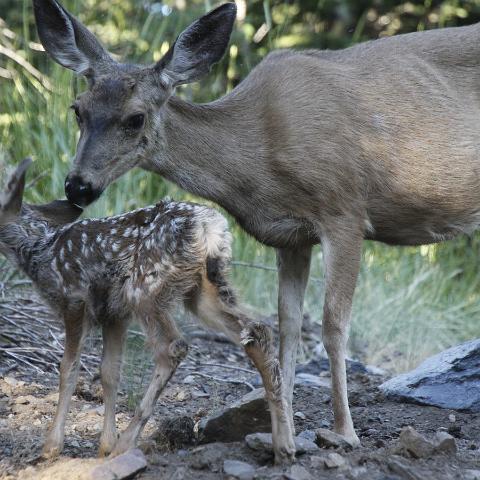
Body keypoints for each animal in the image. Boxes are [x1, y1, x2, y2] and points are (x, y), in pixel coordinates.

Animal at [32, 0, 480, 454]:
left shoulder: (344, 208)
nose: (77, 185)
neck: (259, 158)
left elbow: (333, 325)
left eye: (136, 118)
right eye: (78, 109)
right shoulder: (292, 236)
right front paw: (280, 426)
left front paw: (344, 431)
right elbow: (288, 324)